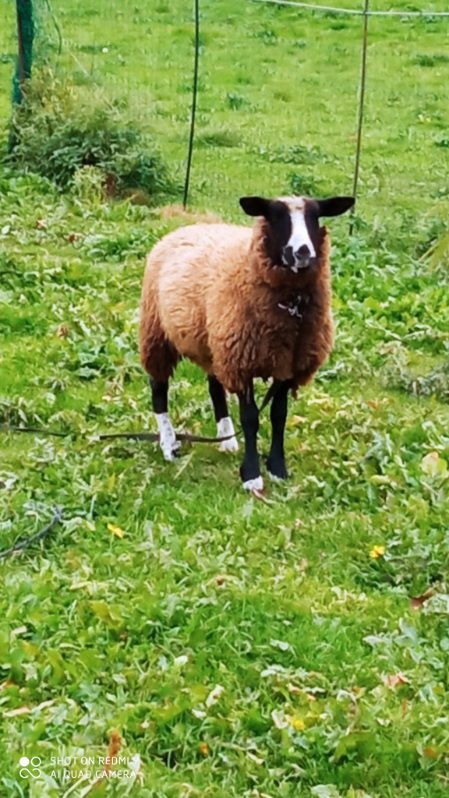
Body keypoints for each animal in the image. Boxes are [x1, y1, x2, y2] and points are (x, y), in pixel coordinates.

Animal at [139, 197, 354, 490]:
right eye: (276, 216)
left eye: (315, 216)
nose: (303, 252)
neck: (292, 309)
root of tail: (186, 228)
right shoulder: (243, 362)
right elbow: (250, 418)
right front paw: (252, 475)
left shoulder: (286, 363)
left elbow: (279, 414)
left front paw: (277, 468)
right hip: (157, 333)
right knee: (159, 389)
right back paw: (169, 444)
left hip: (215, 343)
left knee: (215, 387)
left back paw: (227, 439)